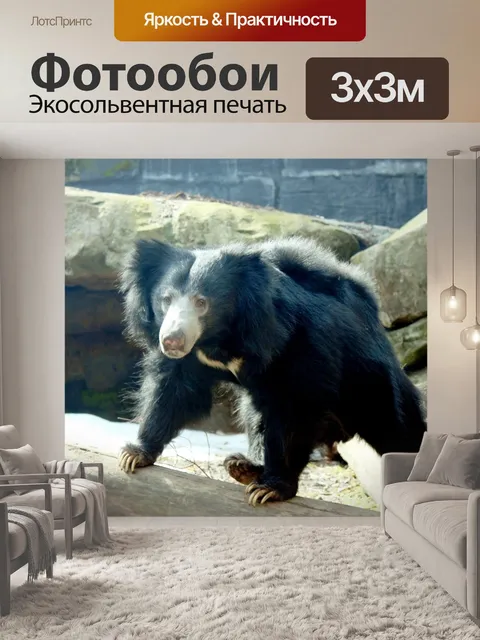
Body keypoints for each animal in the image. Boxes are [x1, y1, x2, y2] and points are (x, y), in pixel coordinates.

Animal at [118, 236, 426, 506]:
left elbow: (296, 409)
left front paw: (272, 488)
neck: (220, 340)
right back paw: (244, 466)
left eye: (201, 302)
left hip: (370, 379)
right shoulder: (193, 359)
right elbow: (175, 390)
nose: (172, 340)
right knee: (255, 416)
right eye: (166, 299)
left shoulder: (299, 343)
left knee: (399, 427)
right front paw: (135, 454)